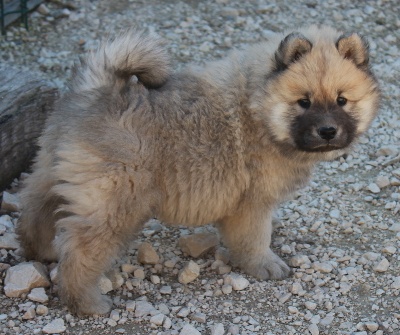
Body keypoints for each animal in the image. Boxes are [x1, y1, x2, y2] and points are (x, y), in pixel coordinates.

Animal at [14, 26, 378, 316]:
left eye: (342, 100)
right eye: (304, 102)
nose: (328, 131)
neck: (260, 107)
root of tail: (99, 91)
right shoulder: (252, 202)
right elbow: (255, 239)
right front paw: (266, 265)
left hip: (53, 171)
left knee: (35, 211)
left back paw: (42, 252)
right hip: (115, 201)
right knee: (79, 252)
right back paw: (88, 304)